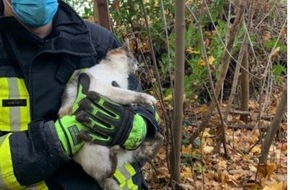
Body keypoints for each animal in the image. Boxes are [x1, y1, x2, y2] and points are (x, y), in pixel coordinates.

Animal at [58, 42, 164, 189]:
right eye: (132, 57)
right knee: (107, 172)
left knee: (145, 153)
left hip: (131, 148)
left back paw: (158, 138)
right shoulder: (106, 91)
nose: (138, 63)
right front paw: (148, 98)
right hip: (96, 150)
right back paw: (112, 155)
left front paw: (132, 109)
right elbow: (129, 94)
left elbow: (129, 99)